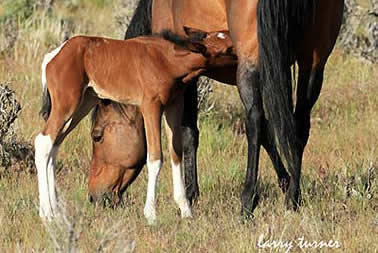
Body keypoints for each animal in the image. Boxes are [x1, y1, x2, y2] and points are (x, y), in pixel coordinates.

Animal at [35, 28, 236, 223]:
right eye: (226, 50)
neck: (166, 60)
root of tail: (53, 57)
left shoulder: (174, 106)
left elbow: (176, 154)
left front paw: (186, 210)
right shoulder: (151, 106)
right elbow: (155, 158)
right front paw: (151, 214)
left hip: (83, 105)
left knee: (54, 146)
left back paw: (56, 211)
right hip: (66, 106)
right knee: (43, 142)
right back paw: (47, 213)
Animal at [90, 0, 344, 216]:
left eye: (97, 136)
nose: (94, 196)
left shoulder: (186, 78)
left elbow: (189, 133)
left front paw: (190, 195)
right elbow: (273, 132)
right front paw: (285, 181)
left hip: (251, 63)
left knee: (254, 122)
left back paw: (248, 202)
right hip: (313, 64)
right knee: (298, 125)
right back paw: (293, 198)